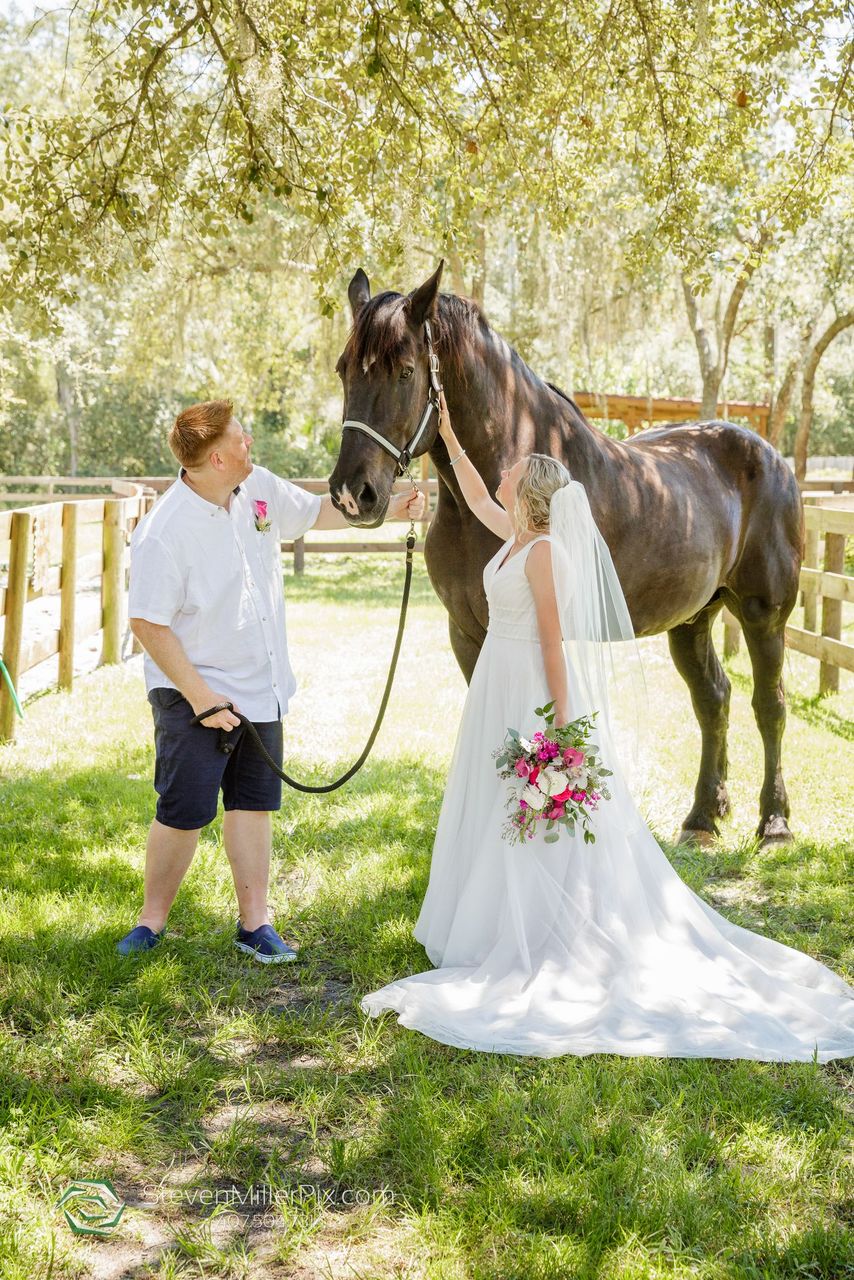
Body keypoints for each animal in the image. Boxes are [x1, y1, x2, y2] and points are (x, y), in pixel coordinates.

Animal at [330, 261, 804, 844]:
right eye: (343, 370)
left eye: (404, 372)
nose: (352, 494)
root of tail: (772, 457)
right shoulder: (466, 633)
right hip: (693, 618)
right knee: (713, 700)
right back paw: (703, 817)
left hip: (765, 616)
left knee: (769, 706)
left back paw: (774, 821)